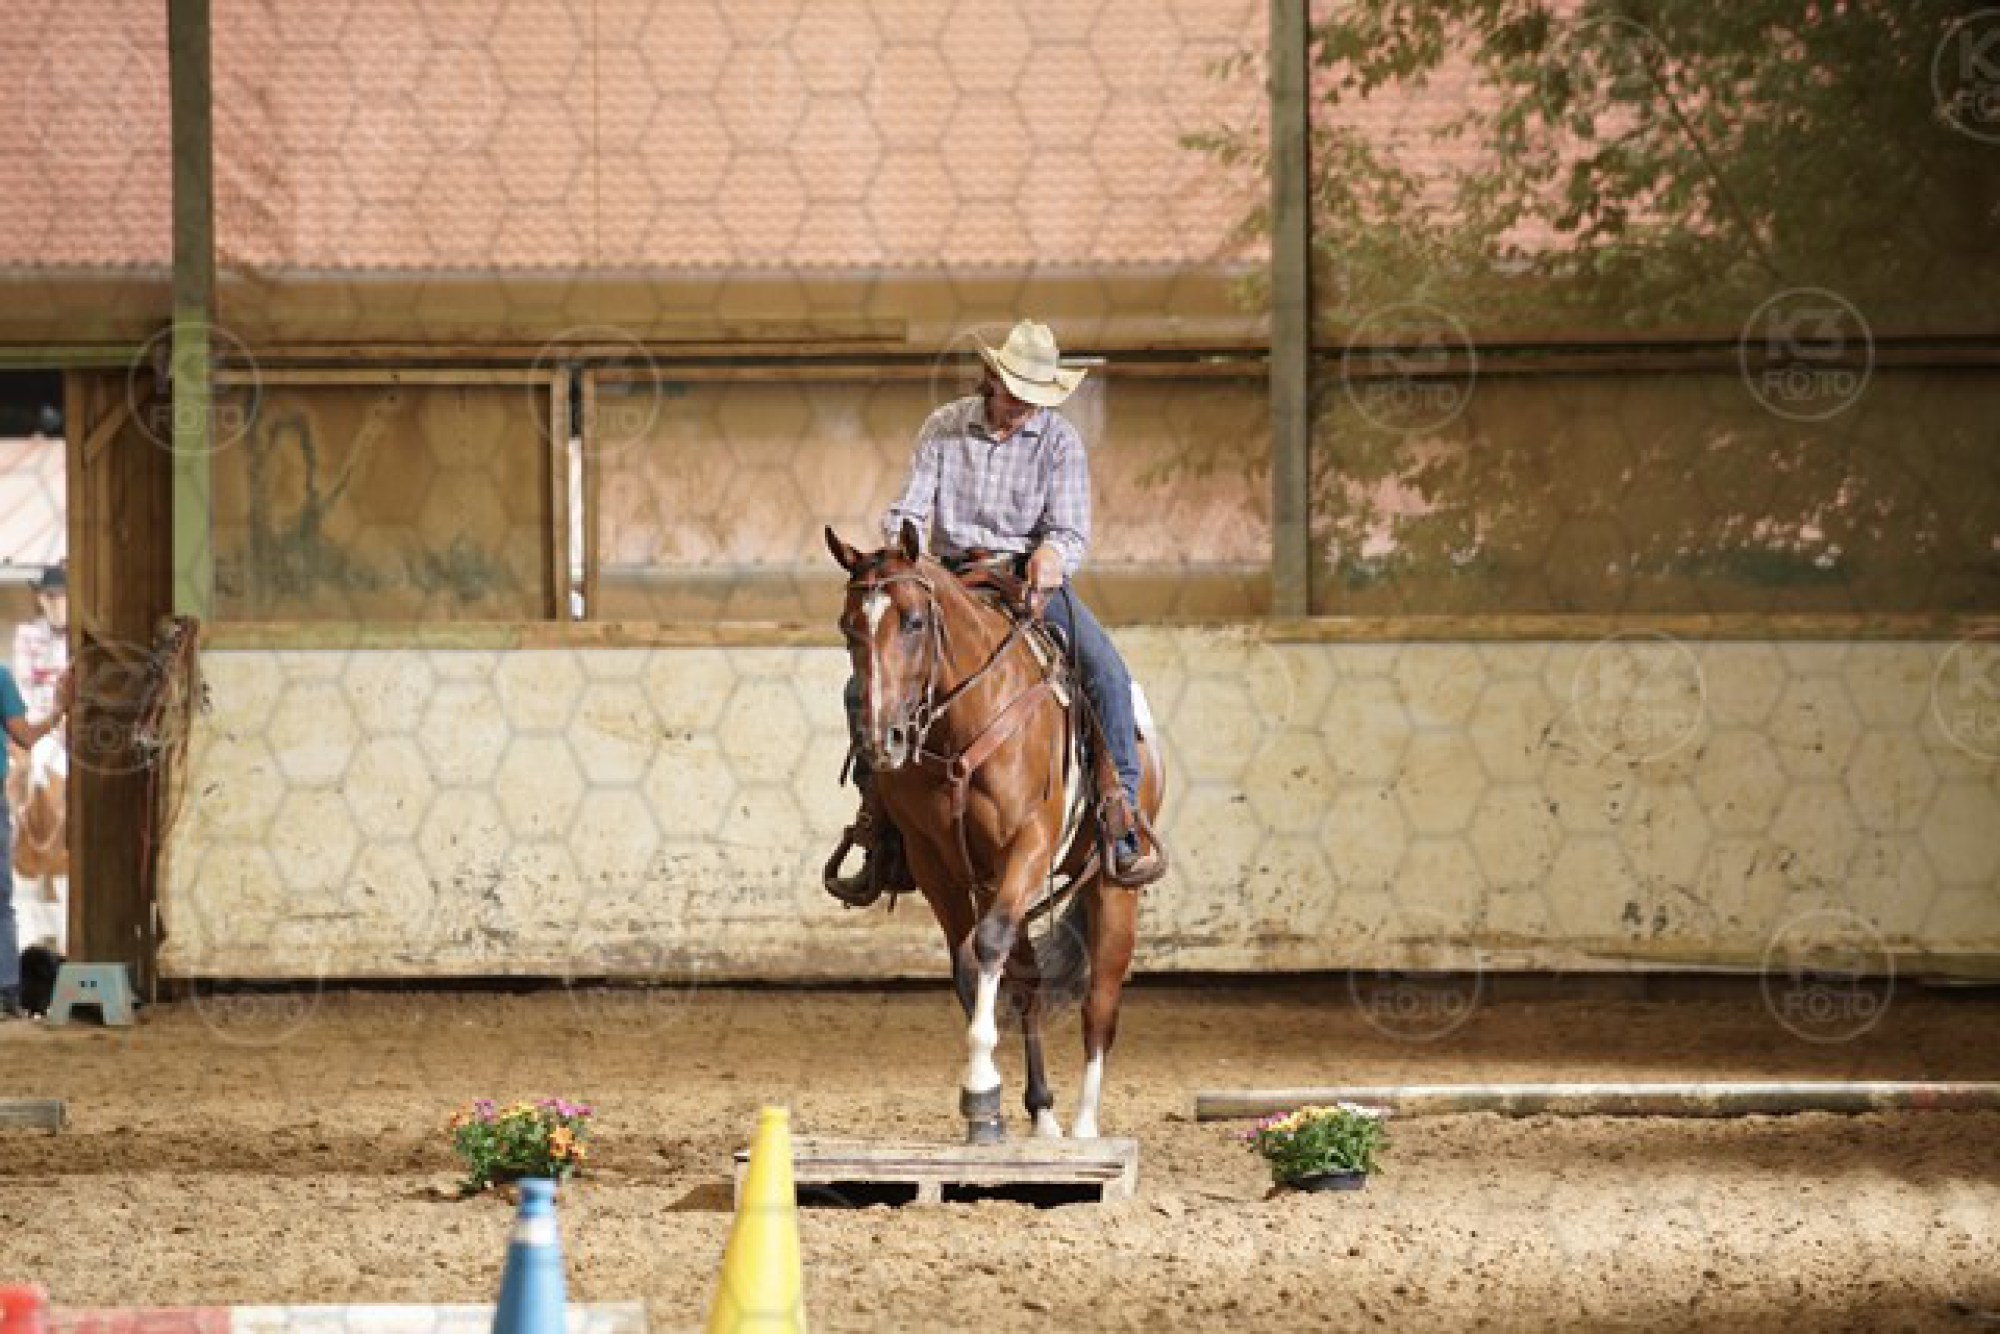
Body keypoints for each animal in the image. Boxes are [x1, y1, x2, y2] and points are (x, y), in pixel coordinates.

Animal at [825, 522, 1165, 1144]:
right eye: (848, 626)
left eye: (914, 620)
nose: (882, 739)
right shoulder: (936, 862)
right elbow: (969, 962)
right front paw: (988, 1112)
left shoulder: (1028, 843)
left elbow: (985, 946)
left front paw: (981, 1087)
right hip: (995, 883)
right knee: (1027, 979)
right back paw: (1044, 1114)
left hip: (1112, 888)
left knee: (1100, 1005)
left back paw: (1084, 1128)